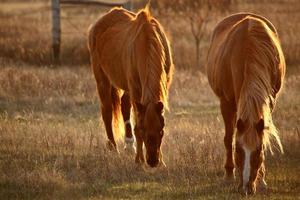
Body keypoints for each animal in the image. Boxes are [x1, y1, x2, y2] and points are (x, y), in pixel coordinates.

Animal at [87, 6, 173, 168]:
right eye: (143, 129)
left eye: (161, 129)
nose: (152, 161)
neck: (147, 42)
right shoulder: (135, 88)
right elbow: (136, 121)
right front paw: (139, 160)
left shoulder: (164, 84)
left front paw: (162, 161)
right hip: (102, 79)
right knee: (107, 111)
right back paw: (113, 148)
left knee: (124, 106)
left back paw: (128, 144)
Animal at [206, 13, 286, 195]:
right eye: (238, 151)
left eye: (258, 152)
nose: (246, 189)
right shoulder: (227, 102)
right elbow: (229, 138)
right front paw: (229, 175)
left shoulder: (270, 101)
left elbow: (263, 135)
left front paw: (262, 179)